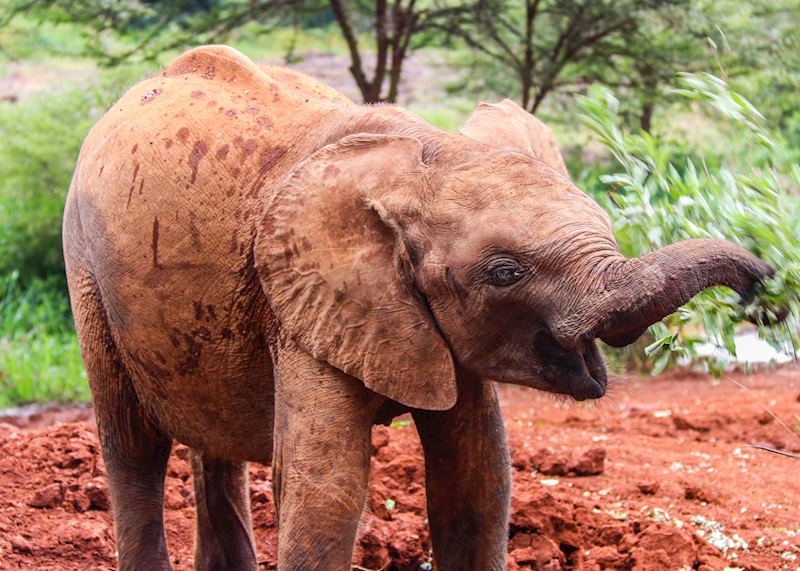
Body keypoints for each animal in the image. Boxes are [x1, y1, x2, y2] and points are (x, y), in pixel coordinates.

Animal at [63, 45, 778, 570]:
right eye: (505, 272)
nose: (762, 286)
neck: (417, 154)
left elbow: (477, 478)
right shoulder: (302, 298)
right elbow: (325, 489)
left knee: (212, 442)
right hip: (85, 265)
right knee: (133, 449)